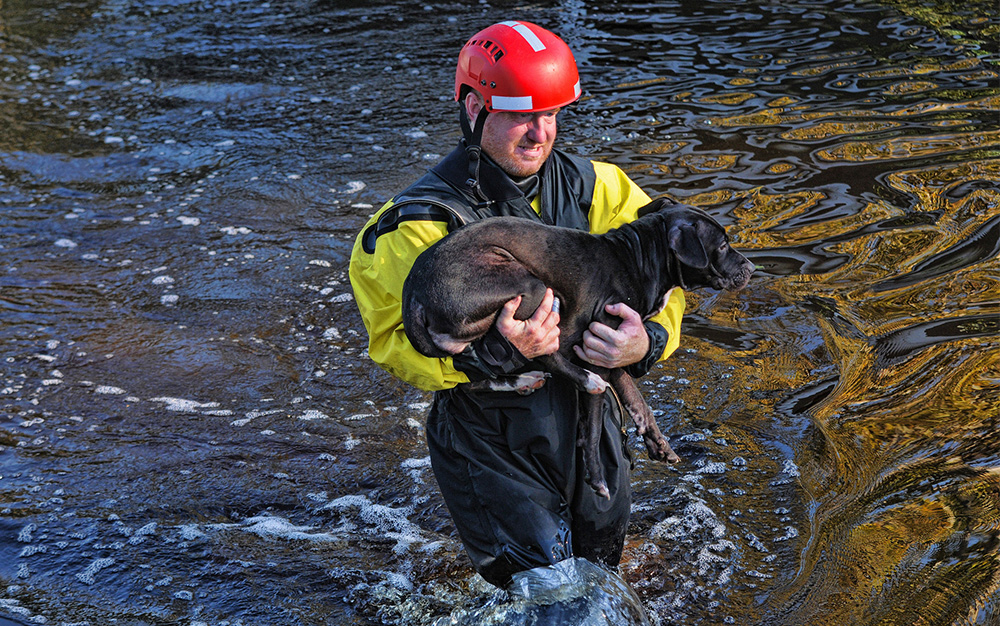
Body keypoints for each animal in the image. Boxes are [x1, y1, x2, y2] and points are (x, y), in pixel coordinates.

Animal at [402, 200, 752, 498]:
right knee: (537, 350)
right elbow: (594, 428)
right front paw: (597, 478)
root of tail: (413, 294)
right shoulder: (593, 350)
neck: (640, 258)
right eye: (722, 245)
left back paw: (520, 381)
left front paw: (658, 443)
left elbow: (636, 399)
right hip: (530, 287)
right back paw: (578, 380)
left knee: (469, 373)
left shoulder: (612, 349)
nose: (751, 267)